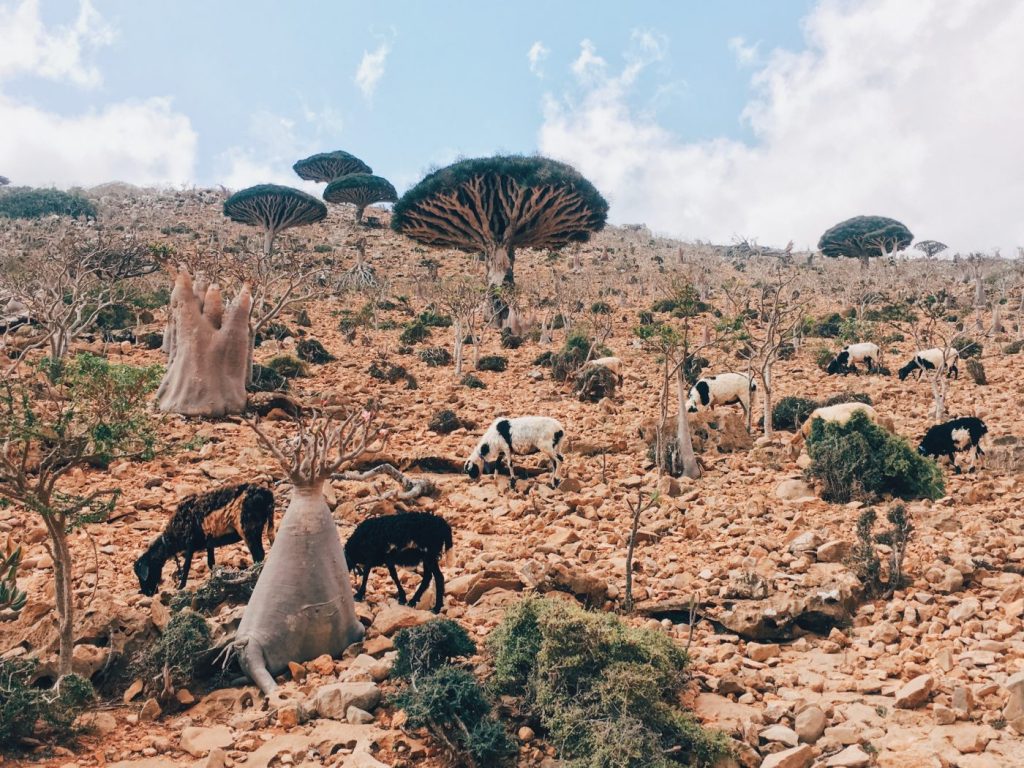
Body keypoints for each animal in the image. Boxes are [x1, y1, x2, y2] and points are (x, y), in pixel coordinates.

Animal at [133, 481, 276, 602]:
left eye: (143, 574)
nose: (147, 593)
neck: (172, 539)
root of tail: (267, 495)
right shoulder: (209, 543)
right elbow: (211, 563)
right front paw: (214, 582)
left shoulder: (190, 544)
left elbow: (186, 567)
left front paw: (181, 587)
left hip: (248, 528)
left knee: (258, 555)